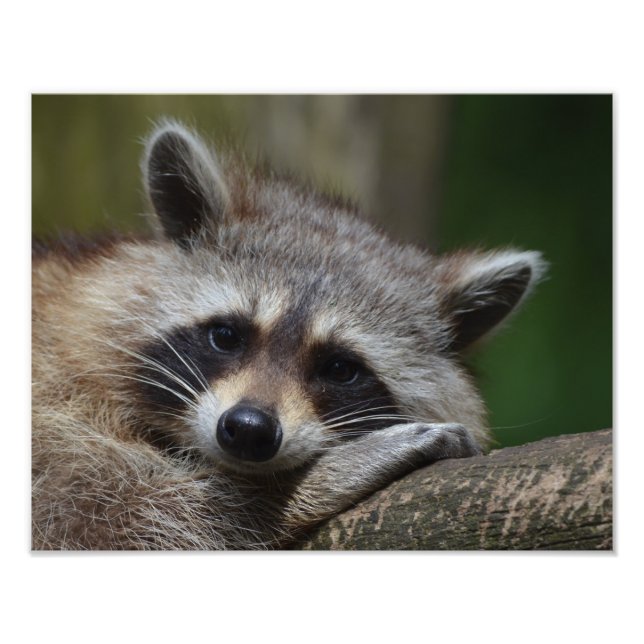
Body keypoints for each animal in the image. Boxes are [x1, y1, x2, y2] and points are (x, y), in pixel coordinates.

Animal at [32, 120, 544, 550]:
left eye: (340, 368)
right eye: (226, 335)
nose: (248, 429)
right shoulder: (52, 404)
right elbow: (112, 517)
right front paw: (314, 481)